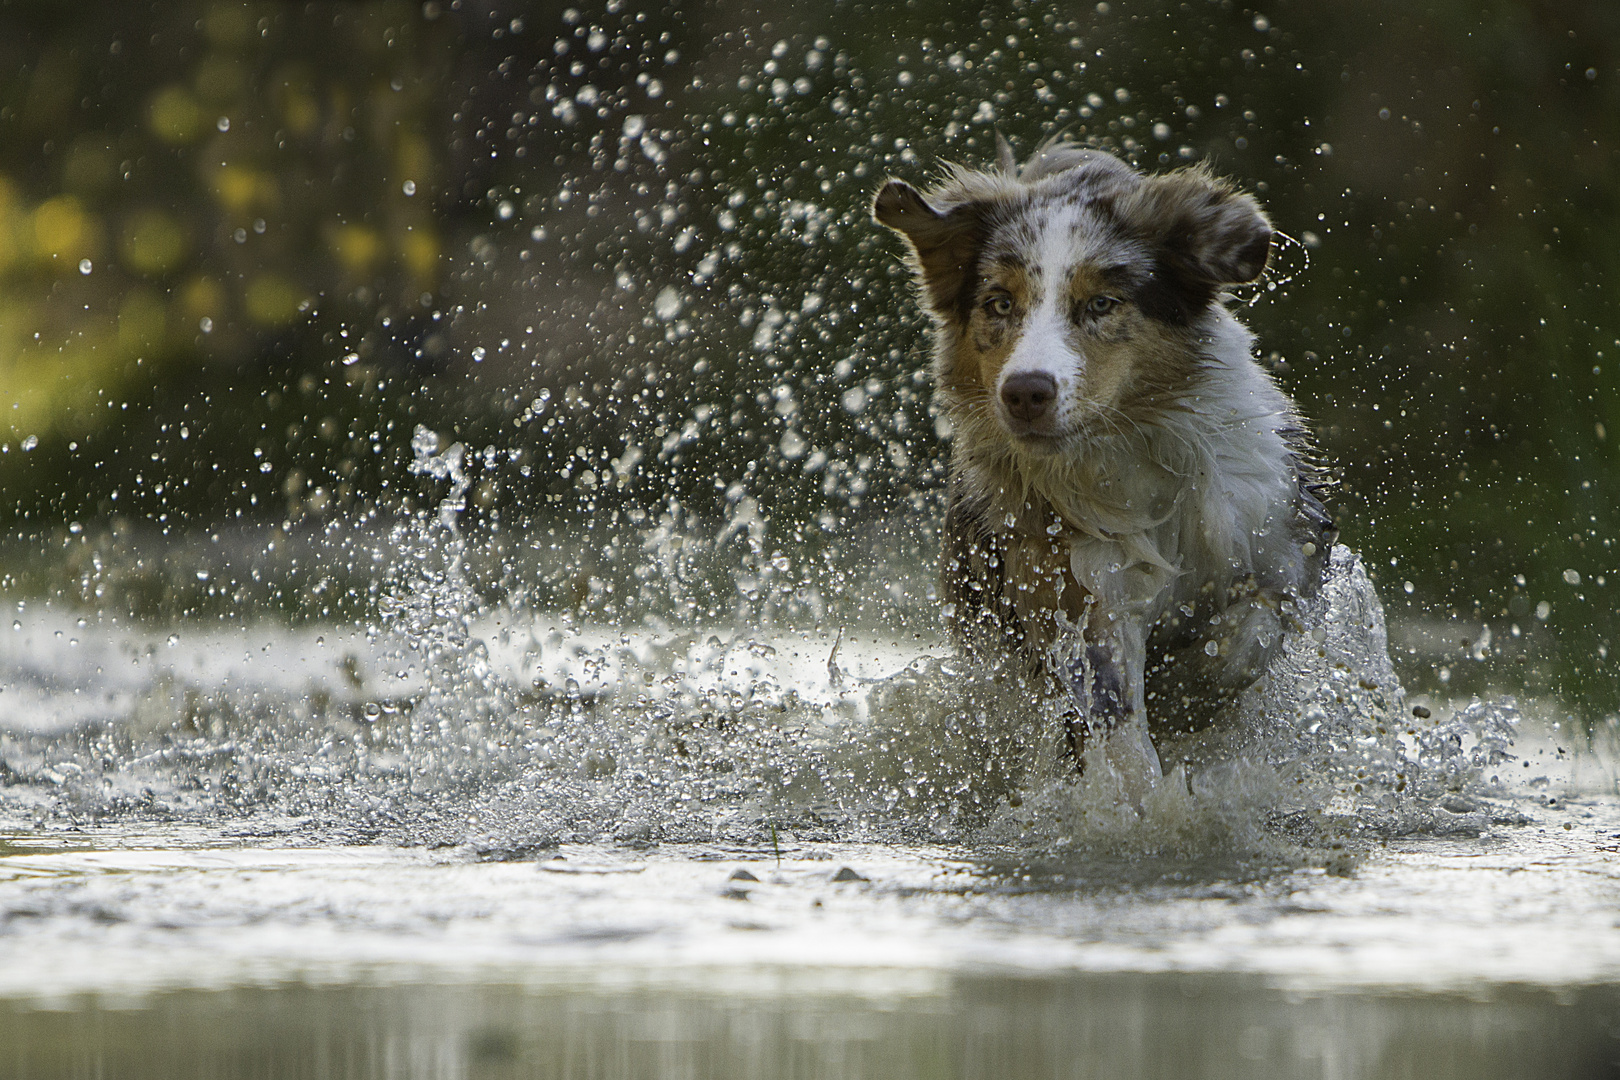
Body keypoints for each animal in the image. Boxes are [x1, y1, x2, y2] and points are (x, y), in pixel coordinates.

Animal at [881, 137, 1334, 793]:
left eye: (1101, 303)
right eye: (999, 303)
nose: (1025, 392)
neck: (1128, 458)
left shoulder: (1282, 538)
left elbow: (1247, 637)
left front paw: (1188, 688)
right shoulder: (1074, 591)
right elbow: (1113, 728)